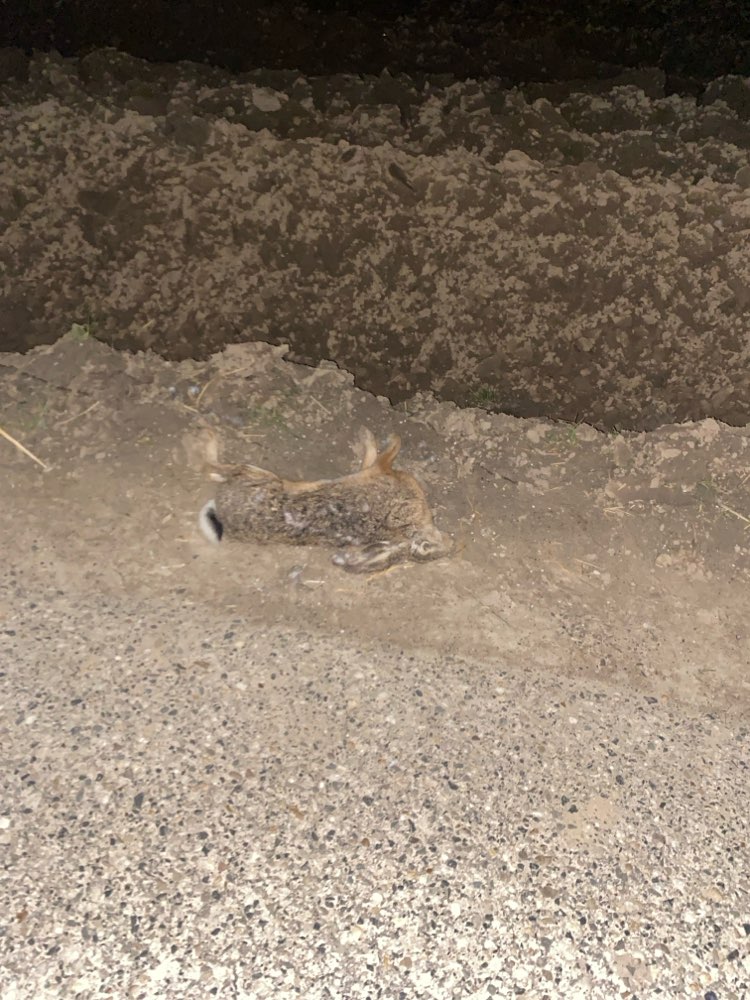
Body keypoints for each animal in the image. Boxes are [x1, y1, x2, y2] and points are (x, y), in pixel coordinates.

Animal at [198, 428, 452, 573]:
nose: (445, 538)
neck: (400, 521)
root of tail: (222, 510)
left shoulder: (378, 471)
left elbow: (381, 454)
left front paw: (370, 436)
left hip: (256, 474)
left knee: (212, 469)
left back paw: (209, 435)